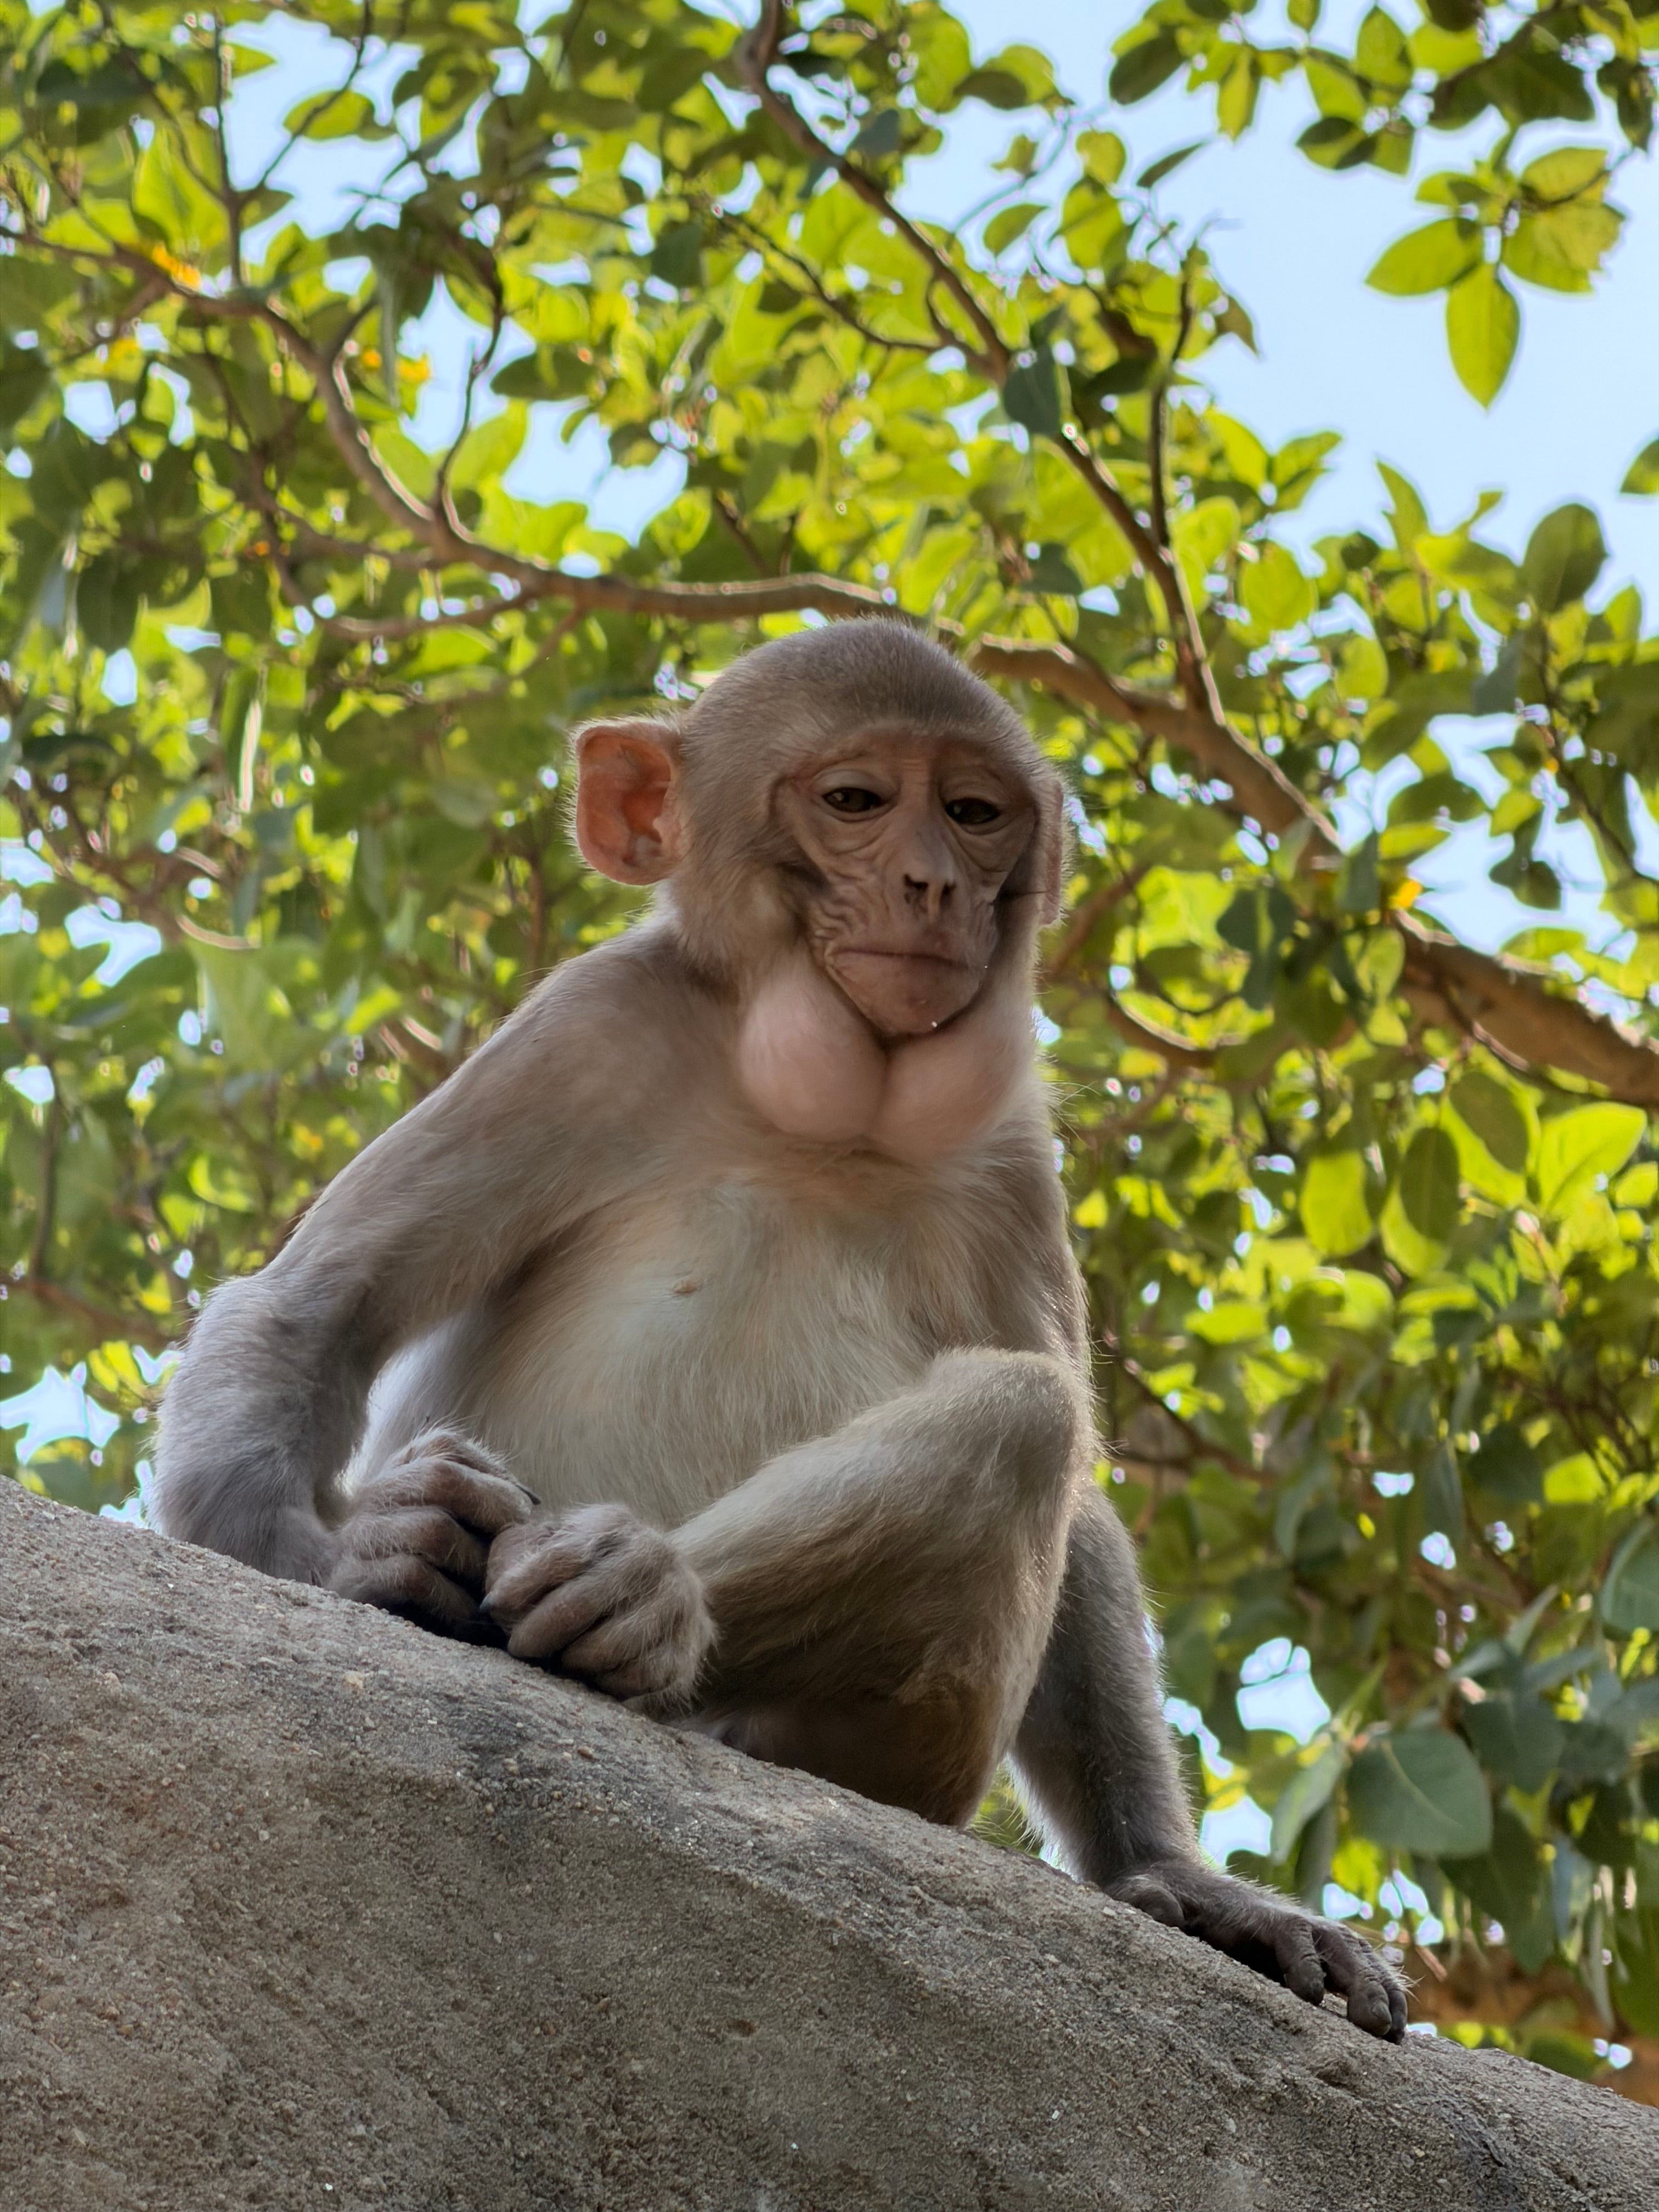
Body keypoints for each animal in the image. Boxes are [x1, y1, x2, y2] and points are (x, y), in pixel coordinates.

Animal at [153, 619, 1406, 2041]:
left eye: (975, 813)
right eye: (857, 801)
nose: (933, 884)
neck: (824, 1115)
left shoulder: (1011, 1153)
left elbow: (1080, 1507)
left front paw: (1176, 1875)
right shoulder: (588, 1031)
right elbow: (313, 1311)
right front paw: (344, 1557)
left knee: (1019, 1417)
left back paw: (642, 1599)